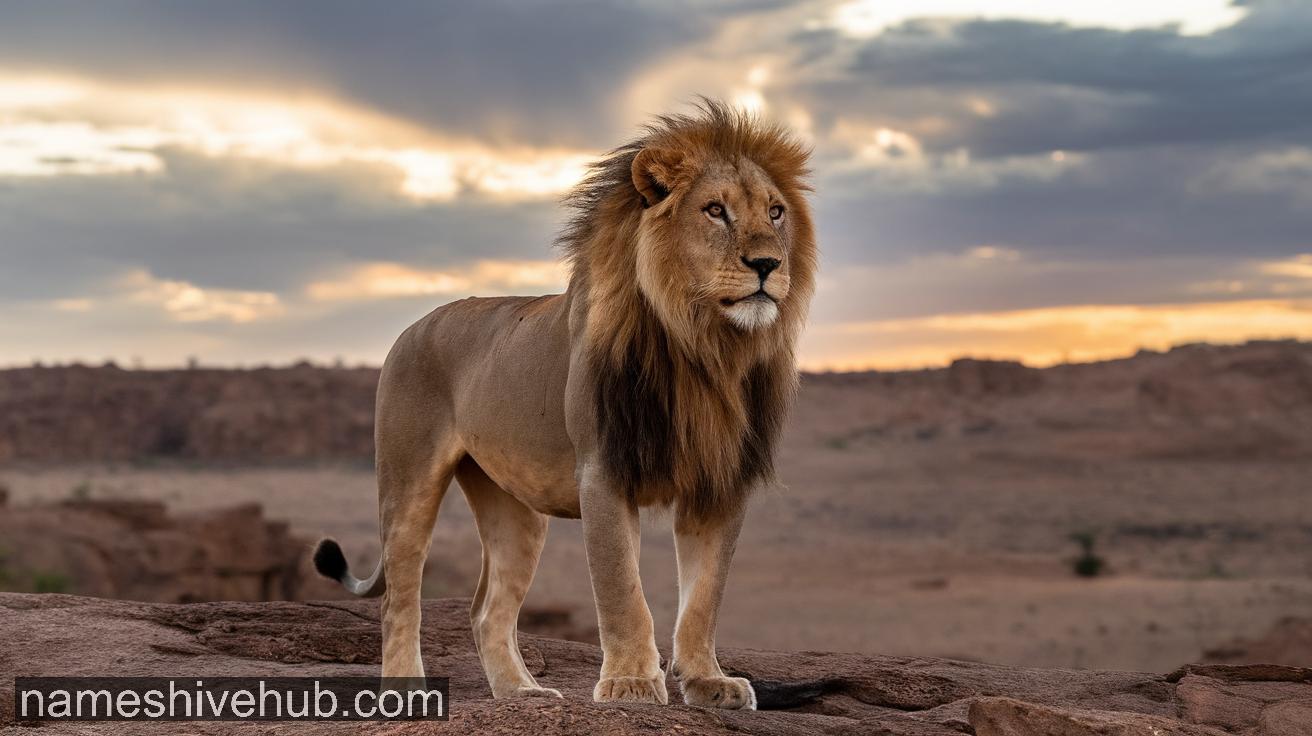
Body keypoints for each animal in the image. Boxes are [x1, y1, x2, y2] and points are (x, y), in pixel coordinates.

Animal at [313, 100, 816, 709]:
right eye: (715, 210)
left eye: (776, 213)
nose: (767, 265)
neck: (703, 349)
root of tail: (413, 326)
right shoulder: (603, 469)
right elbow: (622, 589)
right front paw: (630, 683)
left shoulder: (718, 482)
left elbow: (704, 597)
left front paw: (707, 682)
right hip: (408, 479)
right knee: (398, 597)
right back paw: (407, 694)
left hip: (515, 510)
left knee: (487, 611)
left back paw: (522, 695)